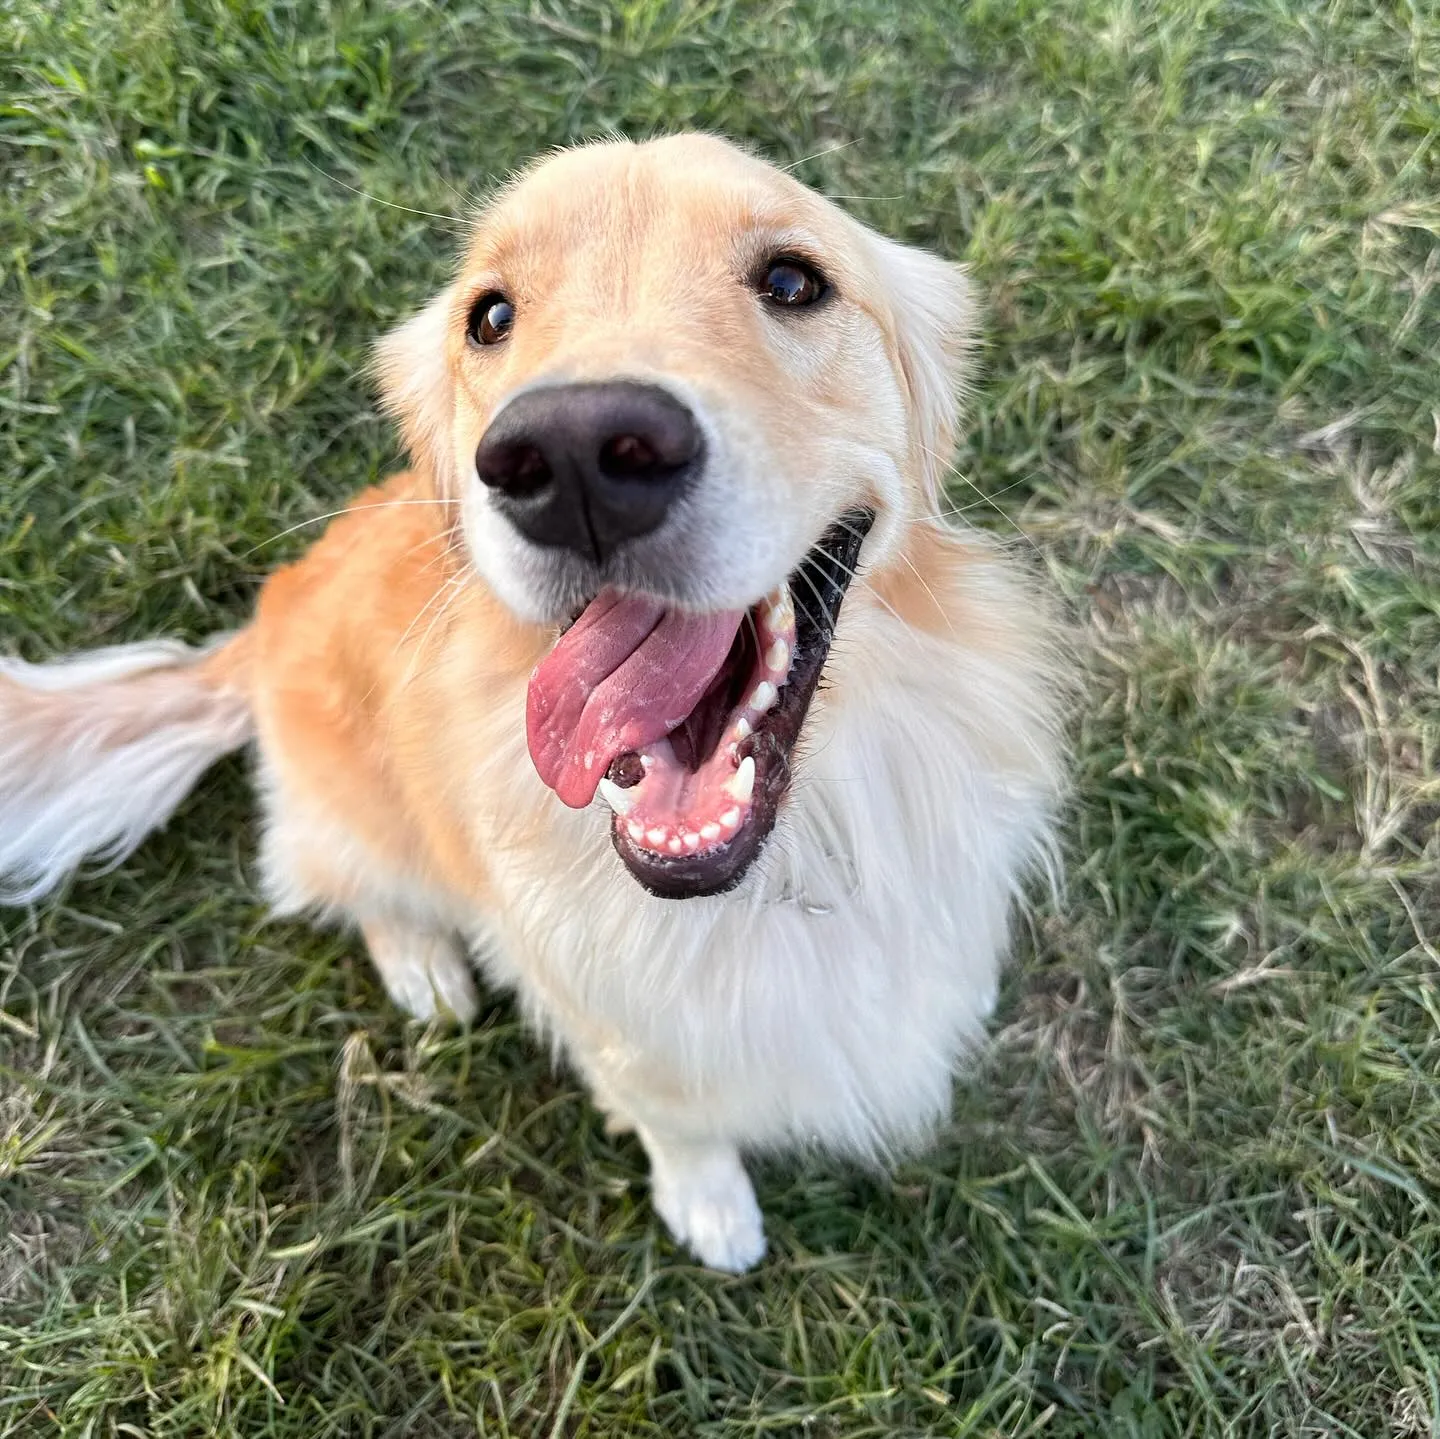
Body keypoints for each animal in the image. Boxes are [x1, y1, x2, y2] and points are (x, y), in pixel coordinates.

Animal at [0, 135, 1065, 1273]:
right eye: (491, 315)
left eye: (792, 281)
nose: (574, 453)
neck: (792, 863)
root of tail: (261, 619)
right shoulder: (610, 1014)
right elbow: (679, 1120)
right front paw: (712, 1206)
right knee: (339, 883)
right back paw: (423, 968)